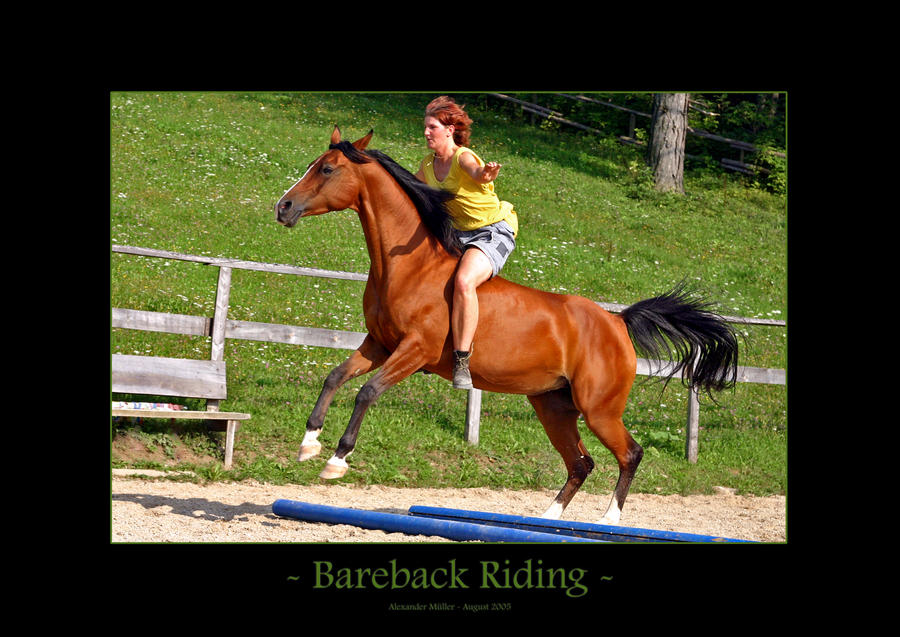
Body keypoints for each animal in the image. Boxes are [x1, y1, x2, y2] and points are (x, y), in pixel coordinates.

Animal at [276, 125, 740, 520]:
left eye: (327, 169)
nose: (283, 207)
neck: (408, 265)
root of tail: (617, 322)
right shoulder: (379, 344)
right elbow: (336, 377)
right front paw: (308, 444)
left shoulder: (414, 351)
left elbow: (367, 392)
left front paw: (336, 460)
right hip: (553, 406)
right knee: (581, 462)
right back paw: (548, 519)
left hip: (600, 410)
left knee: (629, 454)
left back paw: (609, 519)